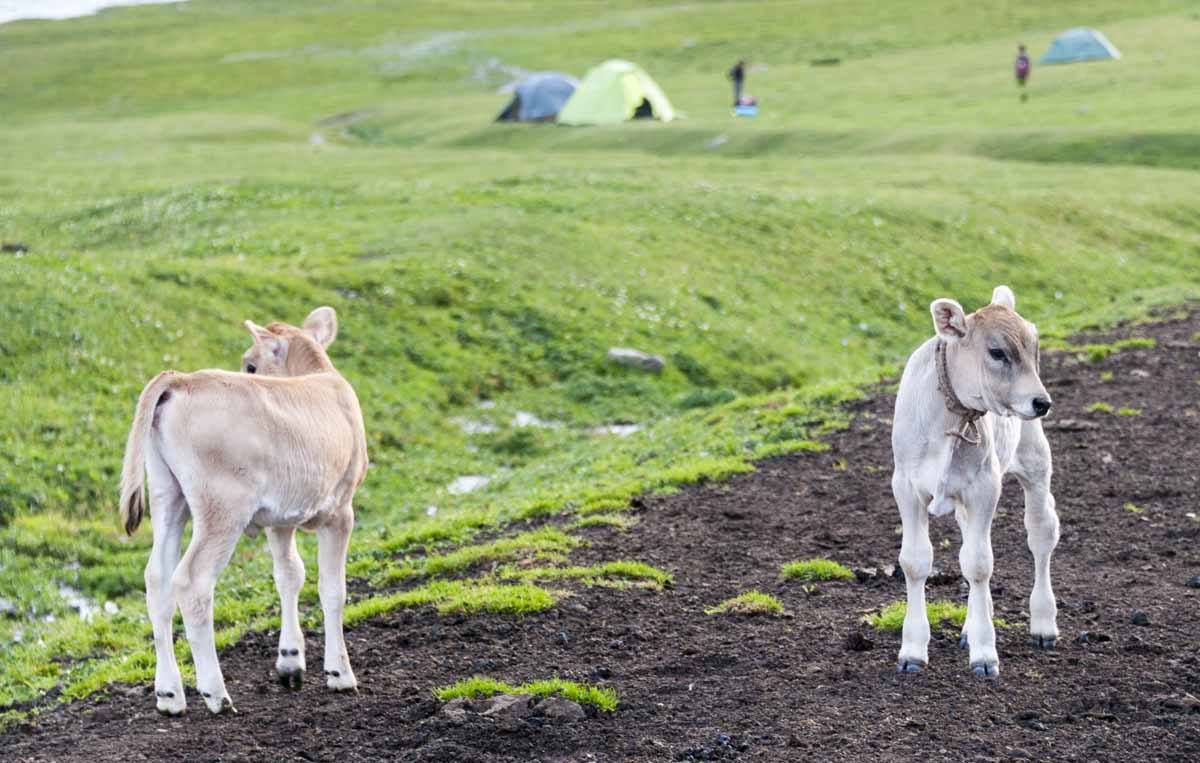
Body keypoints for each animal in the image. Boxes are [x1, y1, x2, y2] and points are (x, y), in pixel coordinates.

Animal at [121, 307, 367, 710]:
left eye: (252, 365)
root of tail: (180, 379)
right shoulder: (340, 510)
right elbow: (333, 588)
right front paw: (340, 673)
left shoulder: (280, 519)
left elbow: (289, 574)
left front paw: (290, 662)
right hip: (223, 507)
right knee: (192, 582)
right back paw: (216, 693)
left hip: (167, 494)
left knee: (157, 579)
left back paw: (170, 694)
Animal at [892, 287, 1060, 681]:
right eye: (997, 352)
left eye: (1034, 348)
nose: (1041, 401)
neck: (947, 419)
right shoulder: (905, 486)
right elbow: (915, 561)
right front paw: (912, 650)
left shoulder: (985, 487)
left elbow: (980, 564)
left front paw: (985, 654)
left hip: (1035, 461)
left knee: (1041, 534)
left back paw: (1043, 624)